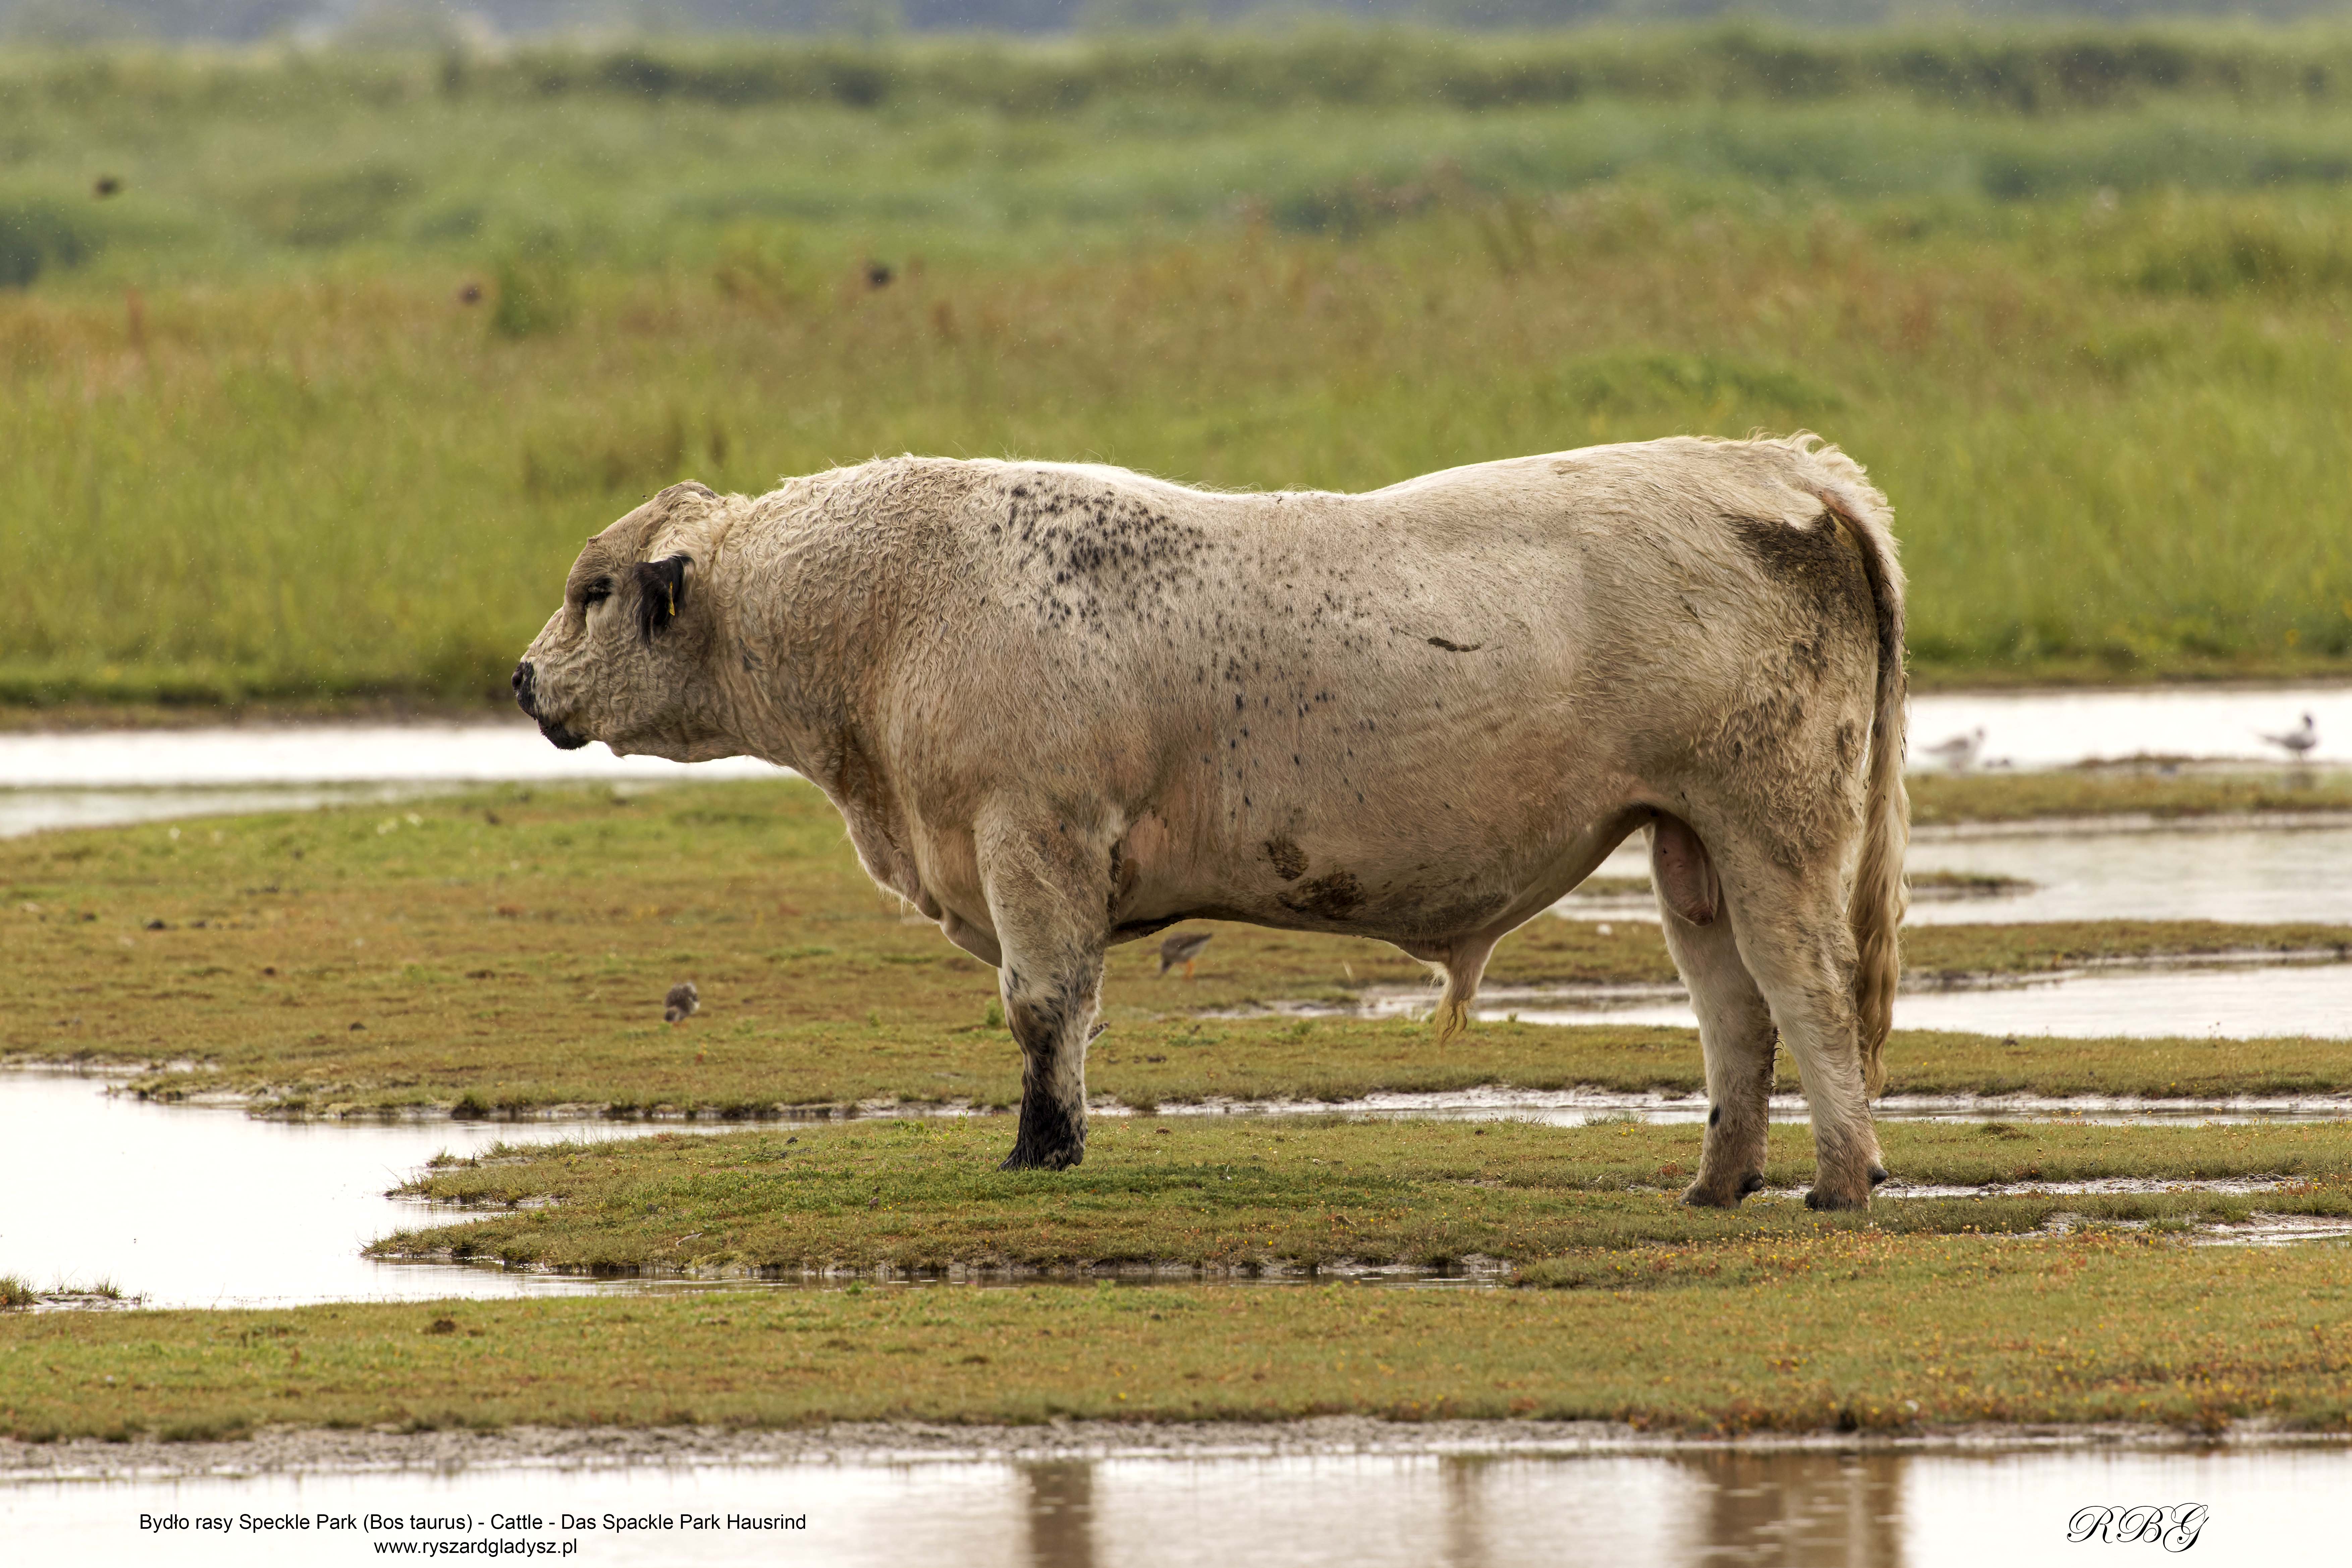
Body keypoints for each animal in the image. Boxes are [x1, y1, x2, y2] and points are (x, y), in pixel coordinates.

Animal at [513, 435, 1909, 1209]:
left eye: (591, 590)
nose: (523, 680)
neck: (888, 608)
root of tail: (1786, 468)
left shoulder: (1033, 839)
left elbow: (1044, 1006)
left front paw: (1043, 1147)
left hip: (1772, 826)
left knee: (1804, 989)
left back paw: (1840, 1179)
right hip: (1689, 845)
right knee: (1733, 1009)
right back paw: (1716, 1182)